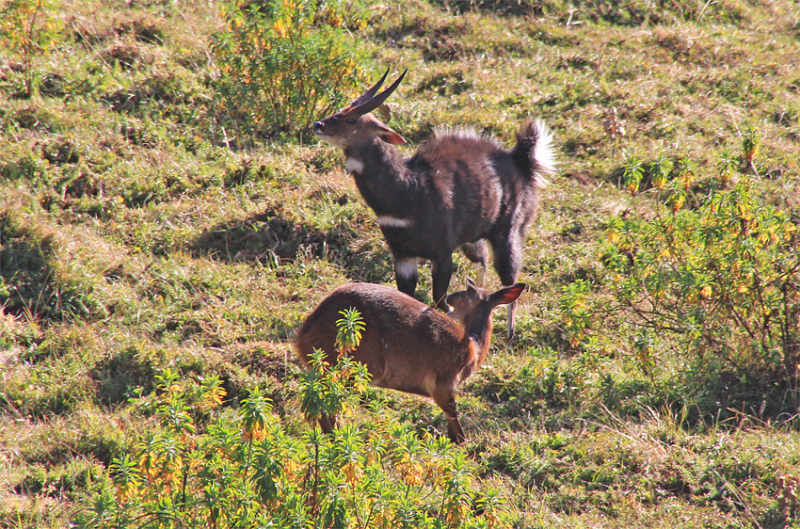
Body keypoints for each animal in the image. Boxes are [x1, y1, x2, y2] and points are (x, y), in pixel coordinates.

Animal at [294, 278, 524, 444]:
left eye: (461, 295)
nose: (448, 297)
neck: (472, 351)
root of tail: (302, 337)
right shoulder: (443, 382)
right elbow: (456, 426)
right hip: (358, 365)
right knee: (329, 406)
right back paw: (338, 440)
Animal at [312, 69, 556, 338]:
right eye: (341, 110)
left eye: (352, 120)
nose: (318, 125)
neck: (408, 192)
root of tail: (522, 161)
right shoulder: (403, 255)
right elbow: (407, 294)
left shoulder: (441, 254)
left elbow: (440, 300)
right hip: (473, 239)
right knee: (482, 264)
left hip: (508, 231)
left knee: (510, 278)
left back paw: (510, 333)